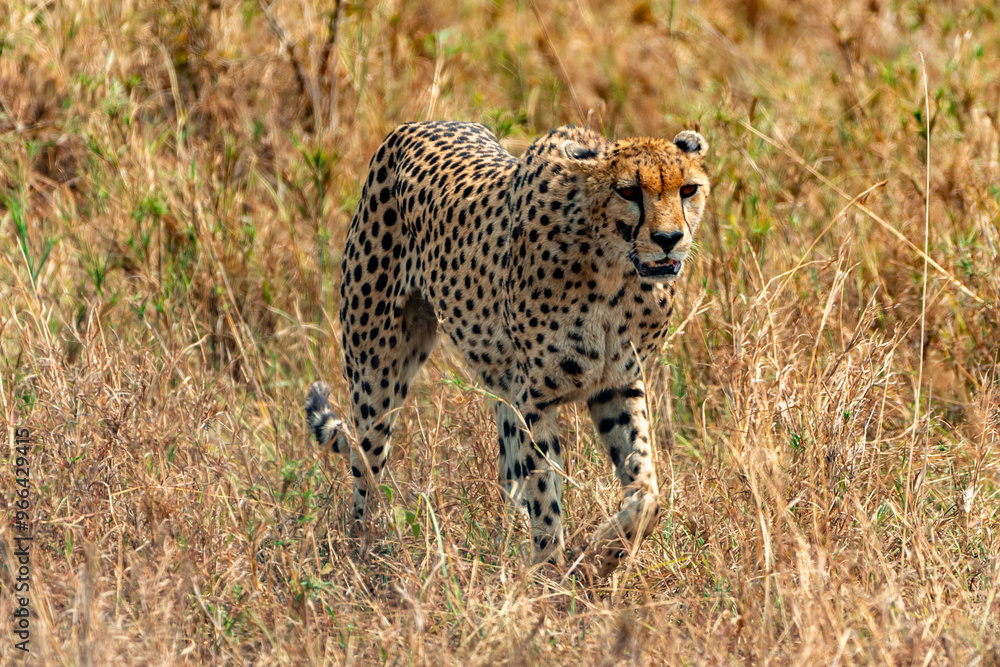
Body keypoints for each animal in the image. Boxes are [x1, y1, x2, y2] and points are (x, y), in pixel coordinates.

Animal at [306, 120, 710, 579]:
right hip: (377, 368)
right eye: (628, 191)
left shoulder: (617, 385)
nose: (669, 239)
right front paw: (552, 572)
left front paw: (602, 555)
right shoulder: (536, 398)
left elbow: (646, 493)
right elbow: (546, 490)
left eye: (688, 189)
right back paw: (363, 552)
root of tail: (413, 126)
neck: (613, 271)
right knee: (365, 467)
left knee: (506, 472)